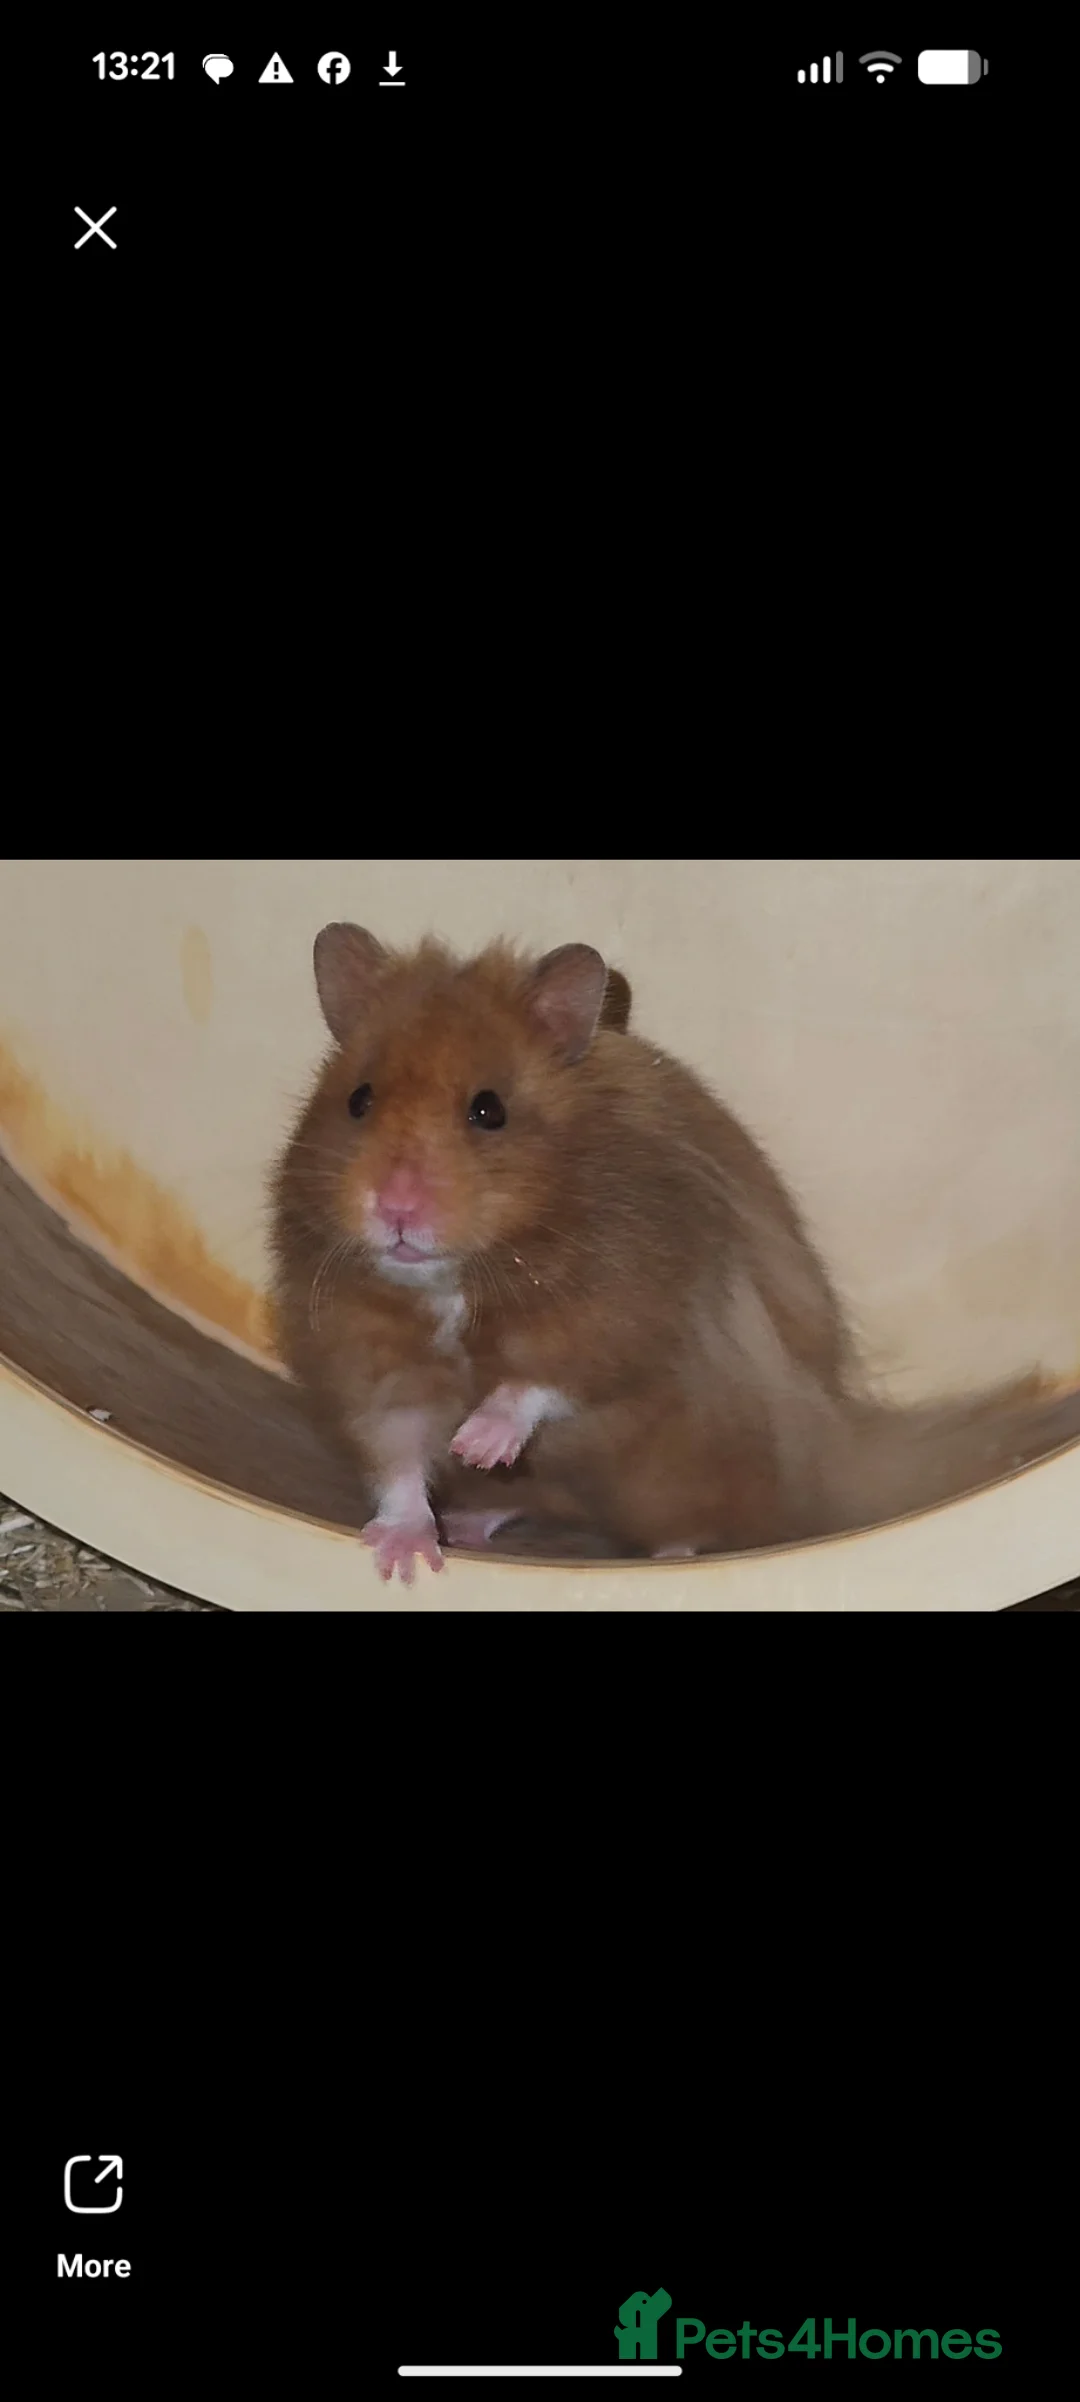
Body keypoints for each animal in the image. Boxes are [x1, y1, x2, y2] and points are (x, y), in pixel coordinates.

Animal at [270, 923, 1080, 1584]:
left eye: (488, 1110)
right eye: (359, 1101)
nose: (397, 1211)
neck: (463, 1274)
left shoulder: (624, 1313)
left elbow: (544, 1378)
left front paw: (478, 1443)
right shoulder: (371, 1362)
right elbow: (399, 1458)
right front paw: (403, 1560)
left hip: (686, 1467)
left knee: (694, 1527)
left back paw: (662, 1559)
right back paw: (468, 1524)